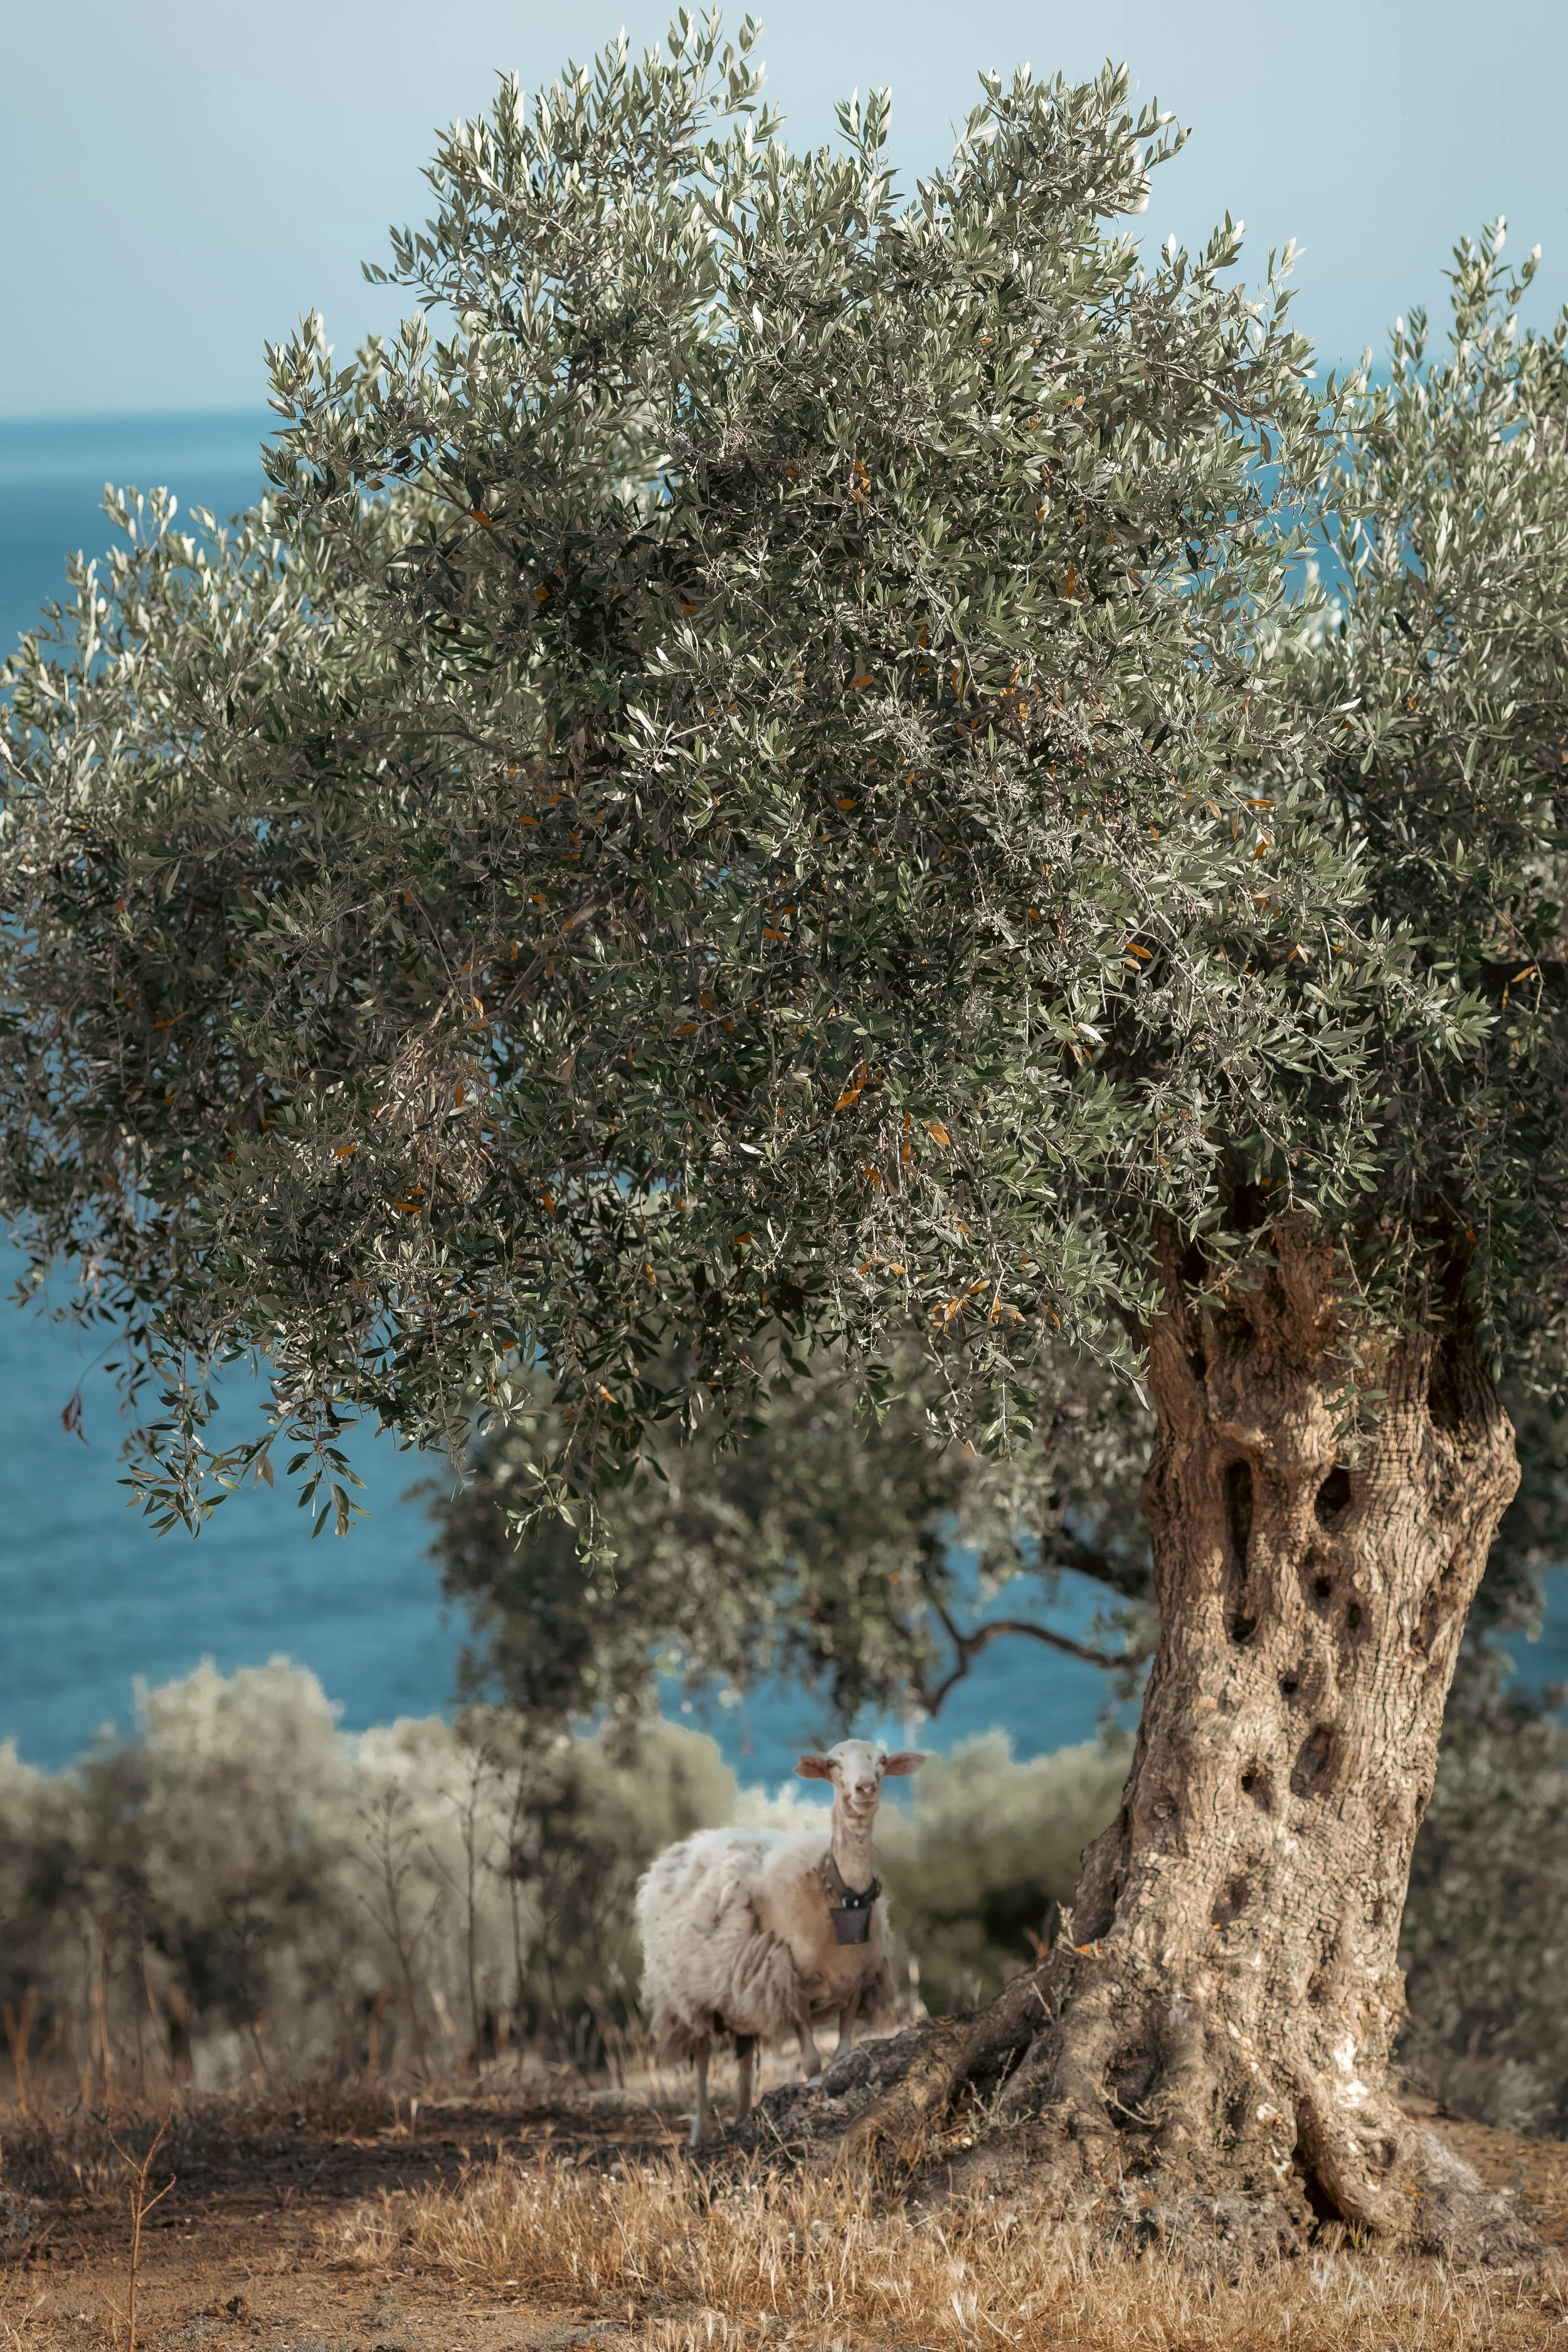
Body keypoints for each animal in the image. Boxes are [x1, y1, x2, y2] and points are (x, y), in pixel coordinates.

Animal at [636, 1736, 925, 2144]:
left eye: (882, 1760)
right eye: (834, 1764)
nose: (865, 1788)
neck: (840, 1895)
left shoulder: (853, 1989)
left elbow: (841, 2057)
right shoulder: (792, 1989)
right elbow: (812, 2063)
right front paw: (817, 2100)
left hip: (741, 1992)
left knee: (743, 2053)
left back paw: (742, 2117)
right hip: (689, 1996)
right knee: (704, 2057)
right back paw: (700, 2132)